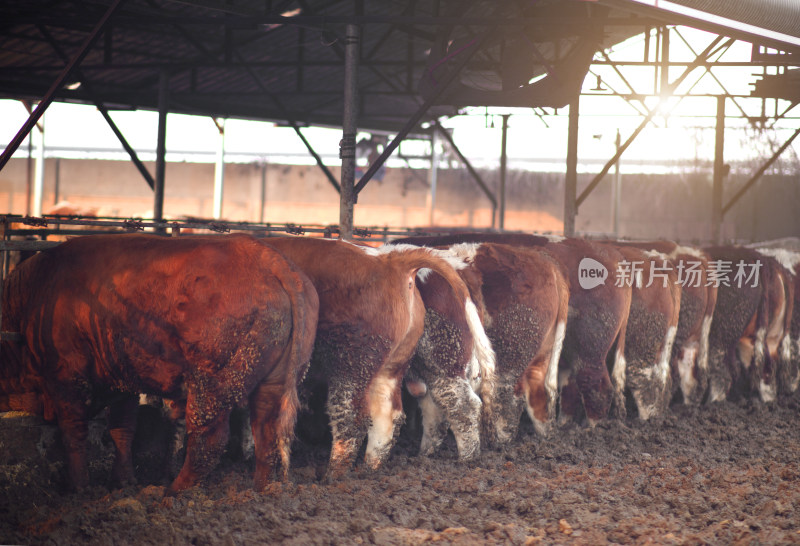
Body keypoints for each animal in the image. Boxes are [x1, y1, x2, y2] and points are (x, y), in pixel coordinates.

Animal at [0, 234, 318, 492]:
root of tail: (267, 257)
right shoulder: (123, 379)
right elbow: (123, 428)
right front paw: (123, 481)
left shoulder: (65, 376)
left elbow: (74, 432)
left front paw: (78, 487)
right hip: (273, 383)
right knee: (267, 433)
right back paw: (261, 491)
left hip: (211, 385)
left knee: (209, 439)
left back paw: (174, 492)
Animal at [258, 236, 476, 478]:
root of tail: (392, 261)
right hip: (402, 367)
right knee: (399, 413)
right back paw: (374, 467)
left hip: (354, 365)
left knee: (350, 417)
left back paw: (334, 475)